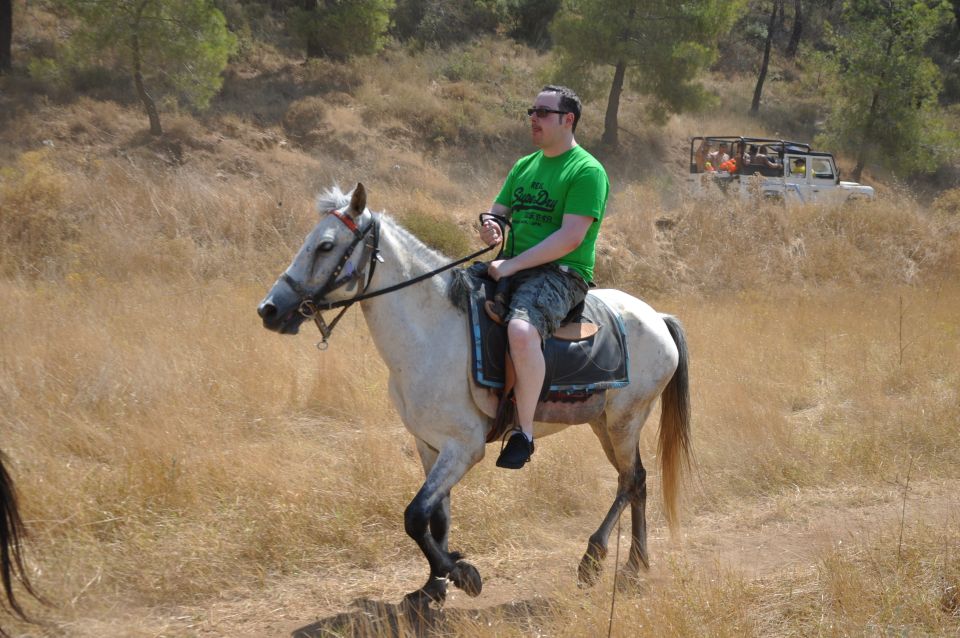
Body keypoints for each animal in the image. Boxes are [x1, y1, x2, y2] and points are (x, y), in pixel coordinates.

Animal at [256, 184, 688, 604]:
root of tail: (656, 317)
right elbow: (437, 515)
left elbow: (414, 515)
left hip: (624, 421)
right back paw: (634, 565)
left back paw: (597, 559)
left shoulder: (464, 447)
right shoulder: (429, 444)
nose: (269, 310)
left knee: (631, 480)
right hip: (603, 423)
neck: (433, 333)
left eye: (326, 245)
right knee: (635, 482)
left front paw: (461, 573)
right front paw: (432, 587)